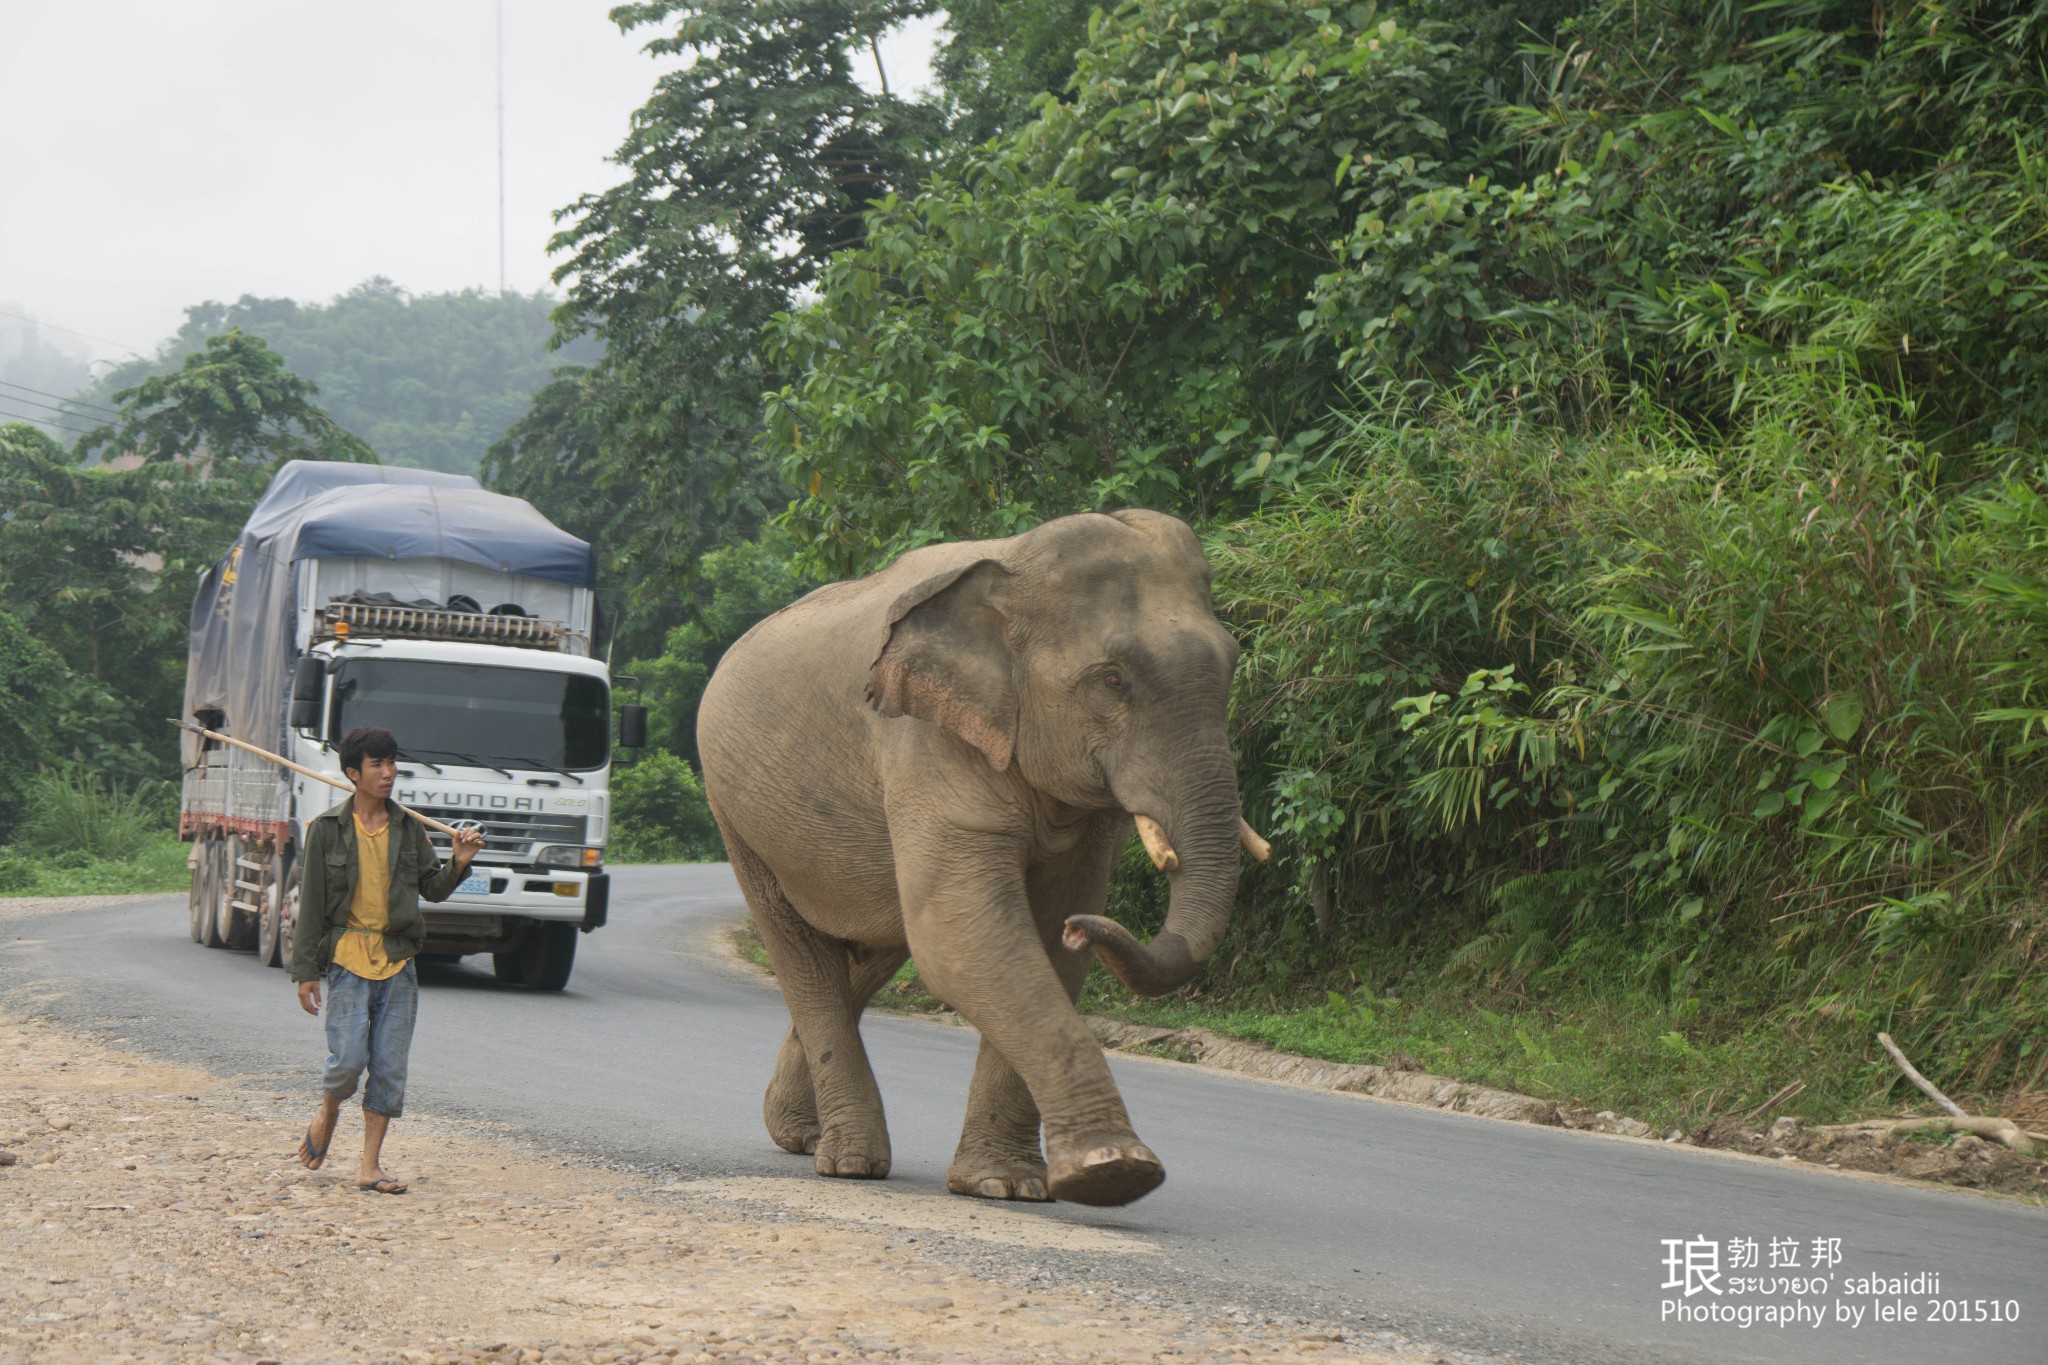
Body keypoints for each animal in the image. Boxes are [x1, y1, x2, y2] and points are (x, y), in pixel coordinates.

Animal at [696, 509, 1261, 1203]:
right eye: (1112, 680)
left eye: (1231, 668)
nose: (1088, 929)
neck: (1011, 569)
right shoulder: (925, 742)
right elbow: (968, 940)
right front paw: (1113, 1171)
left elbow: (1031, 942)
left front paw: (1009, 1185)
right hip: (735, 816)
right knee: (804, 955)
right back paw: (850, 1162)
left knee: (871, 953)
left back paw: (800, 1136)